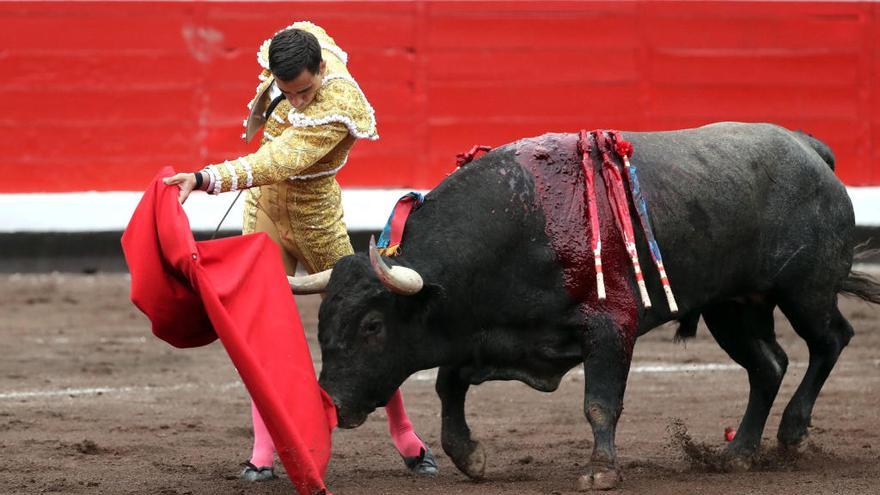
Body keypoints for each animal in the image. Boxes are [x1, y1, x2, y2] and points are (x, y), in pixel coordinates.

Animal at [294, 123, 880, 488]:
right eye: (322, 321)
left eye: (373, 325)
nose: (332, 402)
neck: (520, 223)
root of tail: (808, 148)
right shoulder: (492, 336)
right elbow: (448, 383)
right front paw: (470, 455)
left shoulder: (610, 326)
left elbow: (600, 401)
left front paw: (601, 470)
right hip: (733, 308)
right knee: (768, 365)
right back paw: (738, 454)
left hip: (805, 292)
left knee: (830, 341)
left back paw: (791, 434)